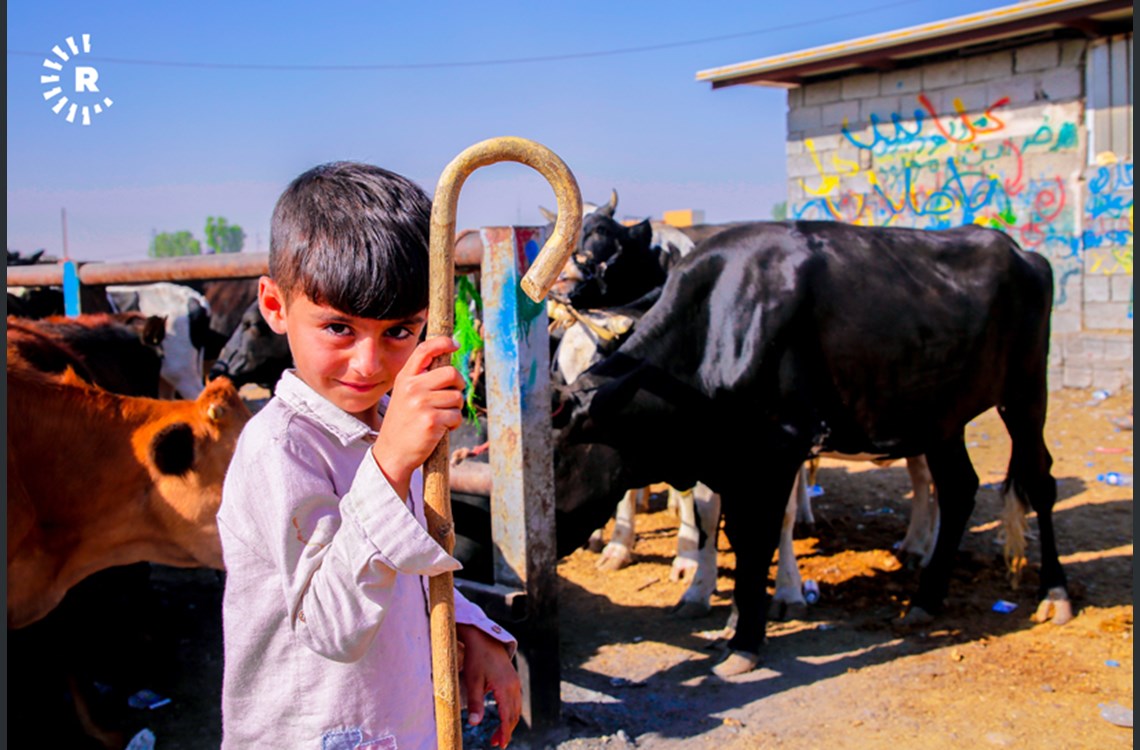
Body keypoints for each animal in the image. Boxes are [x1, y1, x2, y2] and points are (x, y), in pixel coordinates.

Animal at [551, 218, 1067, 674]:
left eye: (553, 464)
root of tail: (1021, 251)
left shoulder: (782, 446)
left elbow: (759, 537)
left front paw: (746, 638)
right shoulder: (729, 458)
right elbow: (730, 530)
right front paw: (731, 616)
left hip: (1026, 392)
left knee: (1039, 482)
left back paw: (1053, 594)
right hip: (942, 415)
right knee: (959, 488)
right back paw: (926, 597)